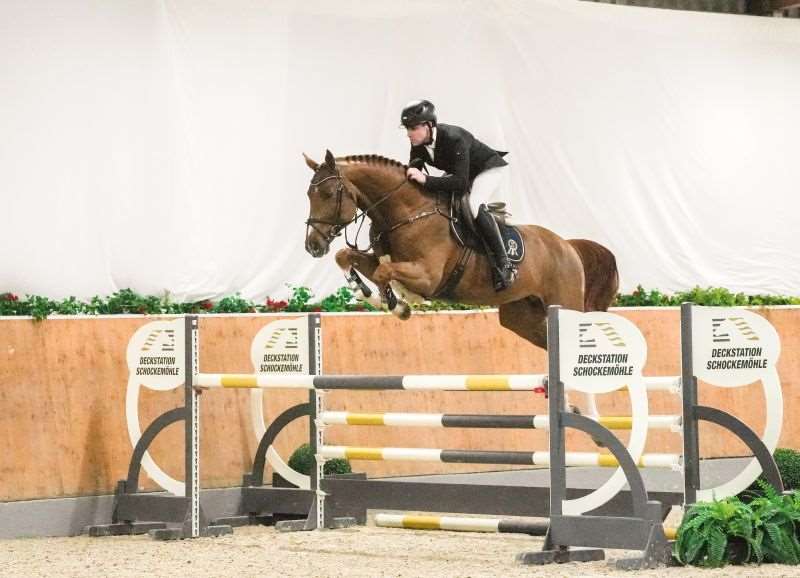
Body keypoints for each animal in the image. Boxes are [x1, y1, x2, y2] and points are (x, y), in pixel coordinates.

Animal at [302, 150, 619, 351]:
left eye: (328, 194)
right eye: (308, 194)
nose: (312, 246)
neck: (408, 212)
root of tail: (568, 246)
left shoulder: (427, 276)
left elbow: (384, 272)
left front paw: (399, 304)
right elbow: (346, 257)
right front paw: (365, 293)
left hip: (565, 305)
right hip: (521, 316)